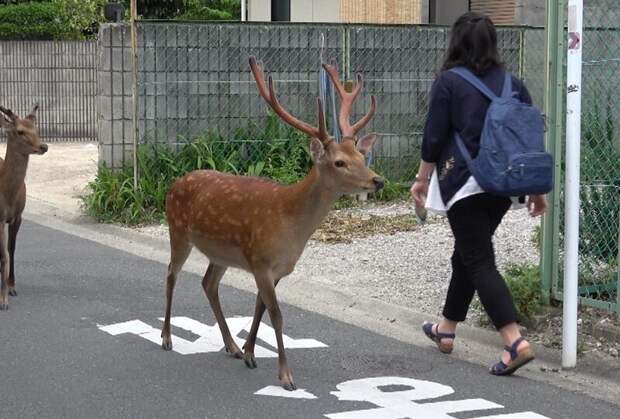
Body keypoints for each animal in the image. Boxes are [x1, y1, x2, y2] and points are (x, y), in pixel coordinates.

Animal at [161, 57, 382, 392]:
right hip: (178, 230)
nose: (377, 180)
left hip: (220, 253)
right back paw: (167, 338)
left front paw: (250, 353)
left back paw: (231, 346)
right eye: (339, 162)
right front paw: (286, 376)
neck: (290, 224)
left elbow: (260, 306)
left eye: (361, 154)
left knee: (208, 283)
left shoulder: (274, 268)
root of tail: (175, 183)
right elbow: (277, 315)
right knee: (172, 275)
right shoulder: (261, 261)